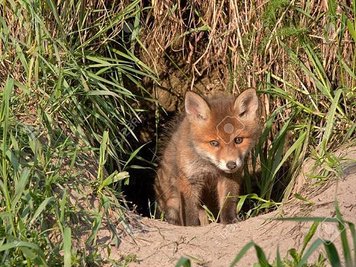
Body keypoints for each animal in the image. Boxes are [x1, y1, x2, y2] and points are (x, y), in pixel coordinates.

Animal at [154, 89, 262, 226]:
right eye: (214, 143)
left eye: (238, 140)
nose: (231, 164)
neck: (210, 167)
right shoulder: (189, 179)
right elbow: (189, 211)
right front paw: (192, 227)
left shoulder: (230, 177)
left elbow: (228, 202)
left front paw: (230, 221)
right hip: (172, 202)